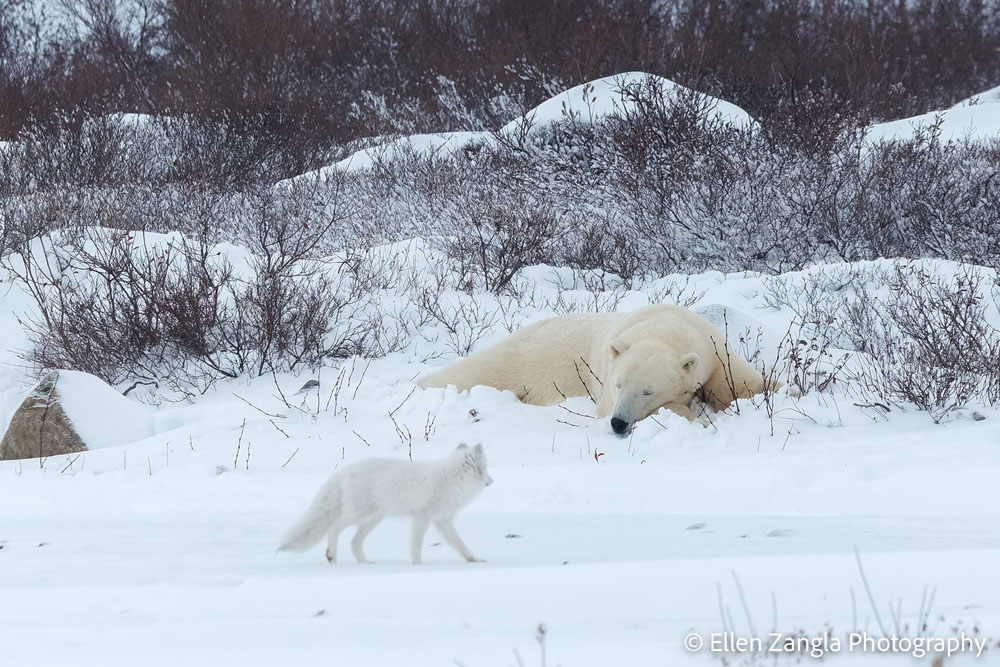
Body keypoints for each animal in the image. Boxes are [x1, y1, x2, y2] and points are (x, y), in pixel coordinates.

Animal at [278, 446, 492, 568]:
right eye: (486, 469)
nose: (492, 480)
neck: (452, 477)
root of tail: (344, 471)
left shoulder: (442, 521)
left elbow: (460, 544)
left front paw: (473, 560)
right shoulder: (422, 517)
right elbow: (416, 545)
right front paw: (418, 566)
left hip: (373, 519)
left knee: (354, 542)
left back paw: (365, 564)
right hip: (359, 515)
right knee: (333, 529)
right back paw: (332, 557)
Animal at [414, 306, 772, 436]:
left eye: (648, 390)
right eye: (618, 384)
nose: (618, 423)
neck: (663, 325)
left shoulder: (714, 351)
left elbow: (744, 385)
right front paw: (696, 417)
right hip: (520, 360)